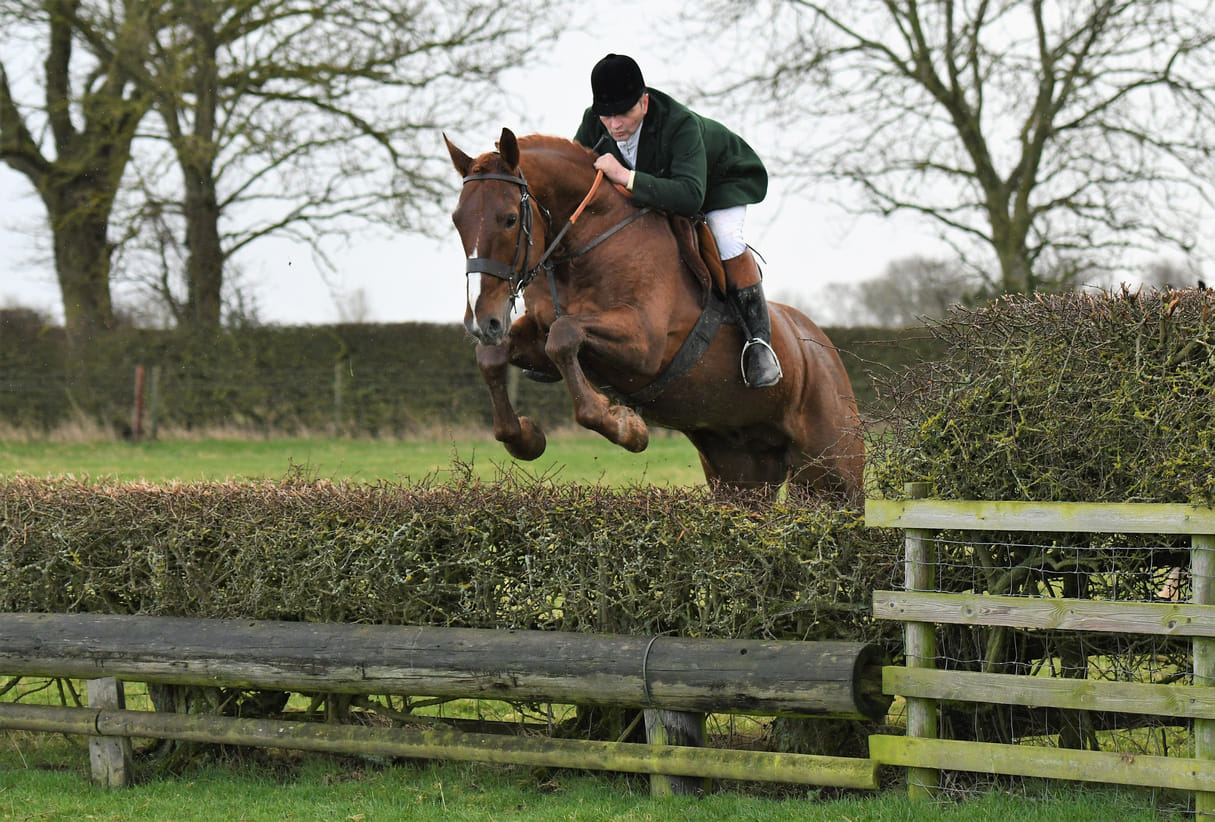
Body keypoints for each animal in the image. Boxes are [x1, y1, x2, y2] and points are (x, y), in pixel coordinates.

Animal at [444, 128, 865, 502]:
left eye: (510, 219)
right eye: (457, 220)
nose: (483, 322)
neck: (586, 244)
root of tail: (824, 349)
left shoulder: (645, 346)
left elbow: (564, 338)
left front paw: (626, 426)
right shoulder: (537, 335)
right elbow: (494, 356)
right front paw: (525, 438)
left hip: (834, 472)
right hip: (742, 476)